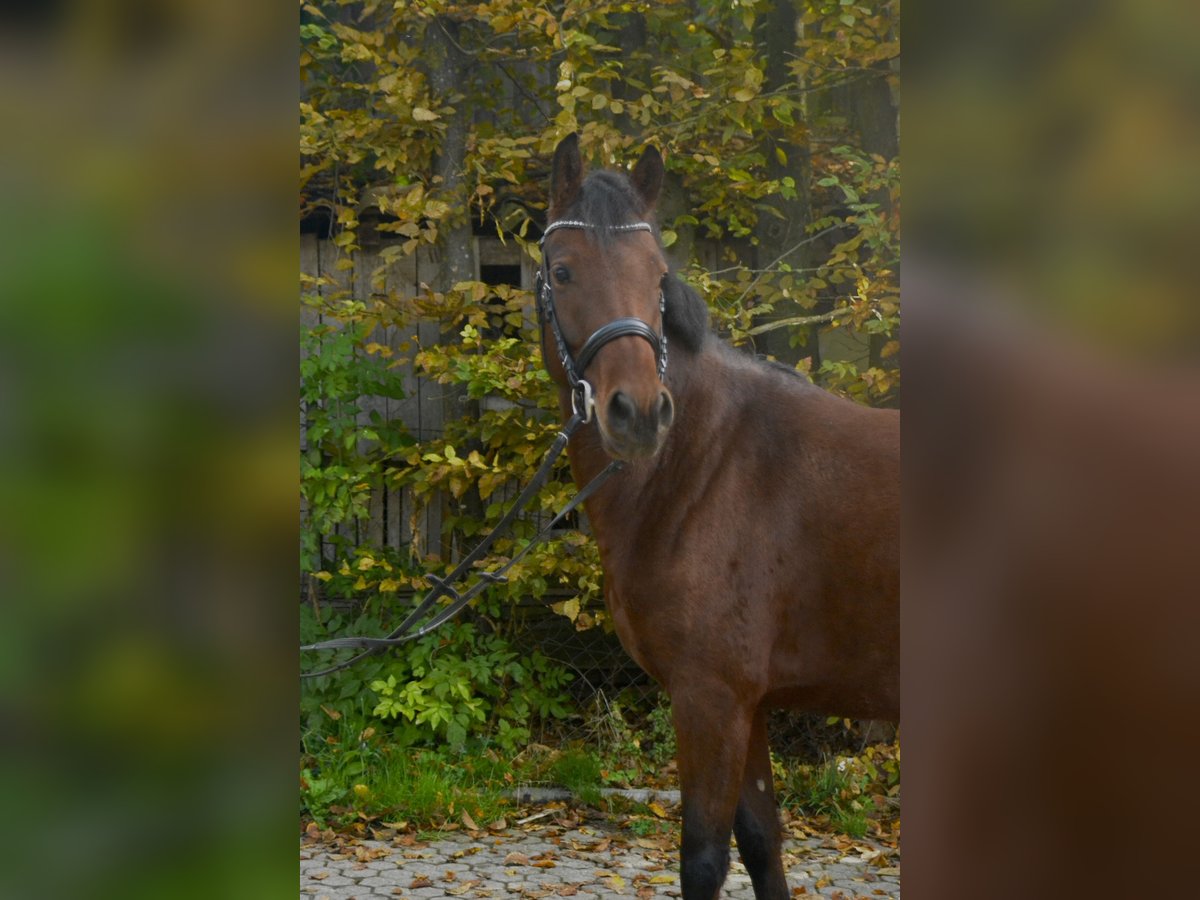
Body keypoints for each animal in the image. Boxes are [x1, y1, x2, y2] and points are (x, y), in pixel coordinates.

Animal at [537, 135, 902, 900]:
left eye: (657, 275)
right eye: (562, 270)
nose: (639, 413)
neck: (709, 463)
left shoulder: (710, 698)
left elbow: (703, 857)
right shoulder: (748, 705)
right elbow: (763, 841)